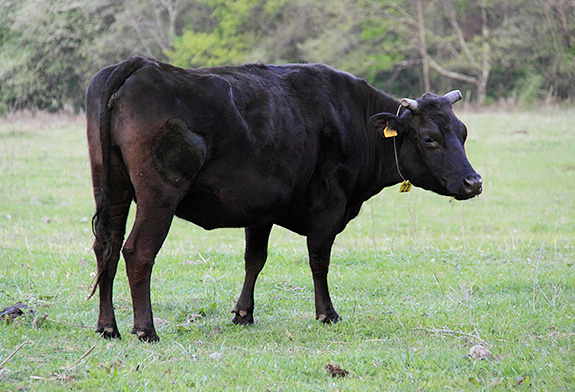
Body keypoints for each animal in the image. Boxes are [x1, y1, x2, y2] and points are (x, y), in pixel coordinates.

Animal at [85, 56, 482, 342]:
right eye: (430, 138)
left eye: (463, 132)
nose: (473, 182)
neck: (351, 117)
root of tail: (141, 65)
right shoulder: (329, 206)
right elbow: (319, 260)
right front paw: (327, 313)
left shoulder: (259, 209)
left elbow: (254, 260)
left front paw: (243, 314)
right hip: (159, 195)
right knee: (138, 252)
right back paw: (145, 330)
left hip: (113, 189)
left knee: (106, 247)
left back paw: (108, 327)